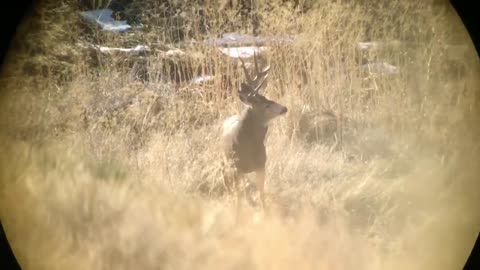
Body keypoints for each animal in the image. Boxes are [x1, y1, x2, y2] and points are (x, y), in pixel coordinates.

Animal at [222, 53, 288, 216]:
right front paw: (237, 213)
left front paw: (264, 212)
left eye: (268, 98)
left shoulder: (261, 164)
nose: (285, 108)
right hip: (225, 160)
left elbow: (261, 193)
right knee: (226, 177)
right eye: (266, 104)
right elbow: (239, 195)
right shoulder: (236, 167)